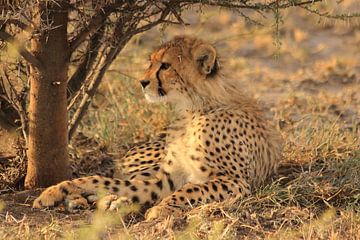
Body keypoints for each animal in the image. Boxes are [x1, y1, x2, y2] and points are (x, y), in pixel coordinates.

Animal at [33, 34, 282, 220]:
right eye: (150, 62)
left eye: (166, 66)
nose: (142, 82)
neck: (192, 108)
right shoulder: (167, 178)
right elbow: (106, 181)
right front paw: (56, 190)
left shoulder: (235, 181)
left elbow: (191, 188)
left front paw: (161, 208)